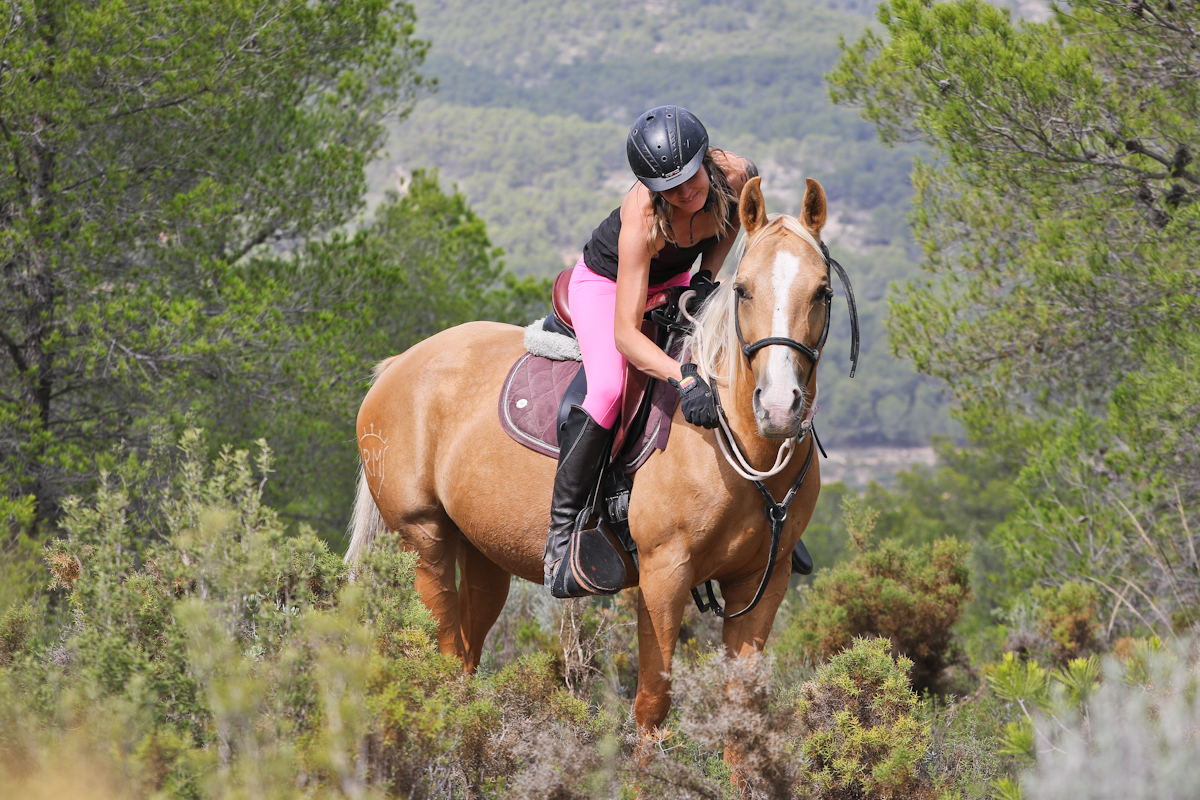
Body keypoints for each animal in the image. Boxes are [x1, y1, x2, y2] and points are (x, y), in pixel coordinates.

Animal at [347, 176, 841, 769]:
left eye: (823, 292)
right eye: (743, 290)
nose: (778, 406)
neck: (740, 448)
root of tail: (396, 366)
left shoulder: (763, 581)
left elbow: (742, 721)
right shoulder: (664, 574)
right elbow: (653, 703)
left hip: (483, 552)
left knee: (466, 659)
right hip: (425, 541)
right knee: (445, 657)